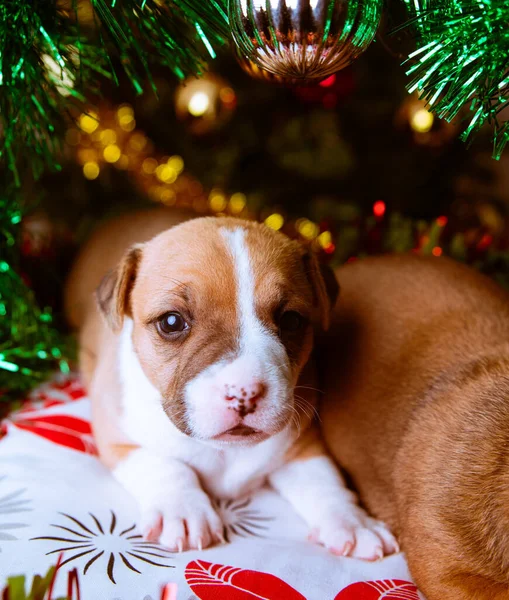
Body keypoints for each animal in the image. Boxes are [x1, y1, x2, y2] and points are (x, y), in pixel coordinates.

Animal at [64, 210, 396, 556]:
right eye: (171, 322)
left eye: (291, 320)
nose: (244, 393)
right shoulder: (117, 437)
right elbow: (165, 466)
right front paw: (183, 510)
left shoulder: (303, 446)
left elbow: (324, 479)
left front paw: (352, 521)